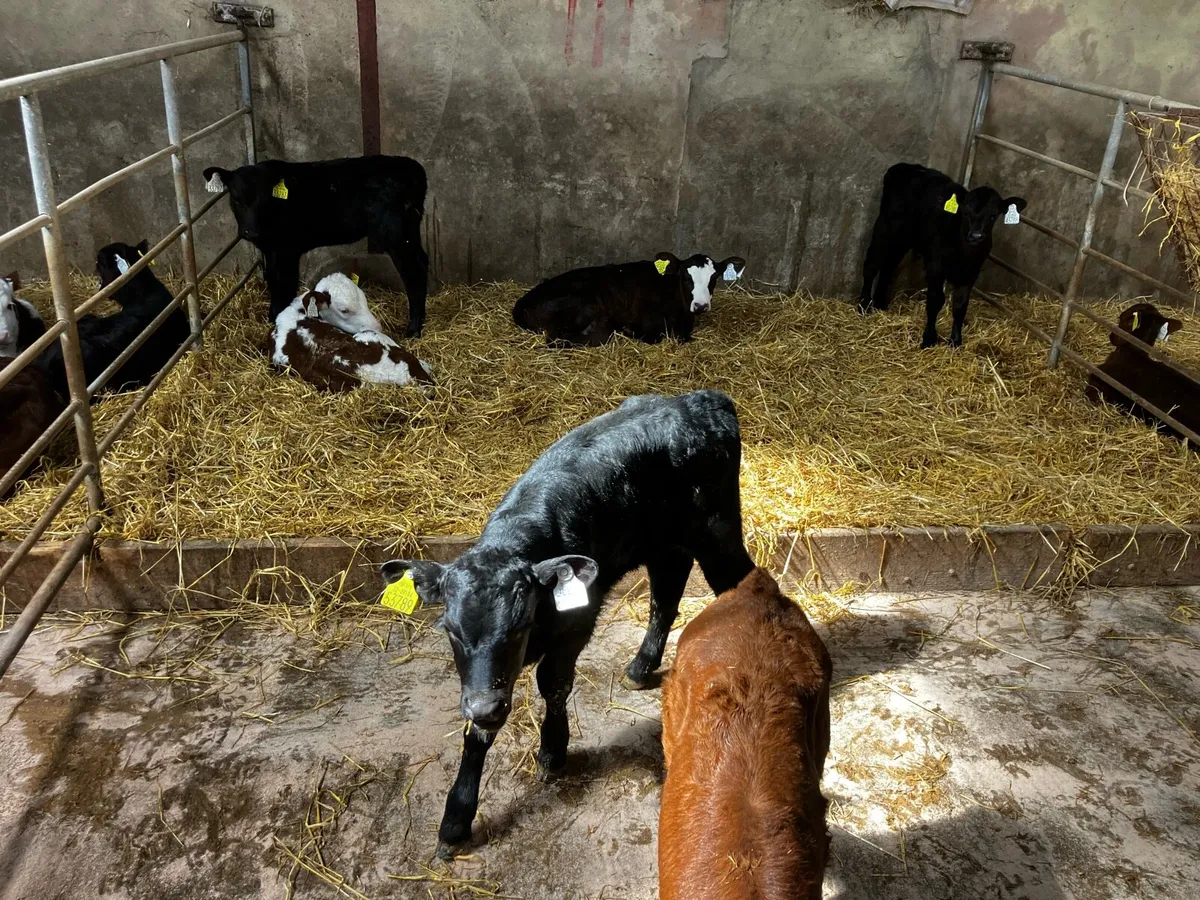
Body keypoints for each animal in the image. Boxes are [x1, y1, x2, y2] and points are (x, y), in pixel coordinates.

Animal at [202, 156, 430, 336]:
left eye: (265, 199)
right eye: (235, 198)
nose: (250, 232)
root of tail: (411, 166)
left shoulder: (286, 250)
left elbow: (284, 282)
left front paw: (278, 316)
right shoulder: (271, 249)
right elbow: (273, 279)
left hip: (396, 234)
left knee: (413, 272)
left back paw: (413, 329)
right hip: (410, 231)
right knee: (422, 261)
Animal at [379, 389, 755, 858]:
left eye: (519, 625)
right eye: (450, 630)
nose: (486, 707)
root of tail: (704, 399)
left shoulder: (578, 621)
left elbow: (552, 683)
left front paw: (553, 752)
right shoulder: (482, 684)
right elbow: (475, 732)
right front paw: (456, 820)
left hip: (718, 531)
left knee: (740, 584)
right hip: (663, 541)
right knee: (667, 591)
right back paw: (640, 667)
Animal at [860, 162, 1026, 348]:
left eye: (992, 215)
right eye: (965, 211)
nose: (976, 236)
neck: (963, 253)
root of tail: (908, 166)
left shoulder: (971, 272)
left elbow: (960, 304)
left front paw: (955, 341)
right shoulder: (935, 265)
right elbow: (936, 299)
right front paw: (929, 339)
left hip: (905, 237)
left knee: (889, 265)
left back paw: (880, 303)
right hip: (885, 227)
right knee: (872, 263)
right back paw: (864, 305)